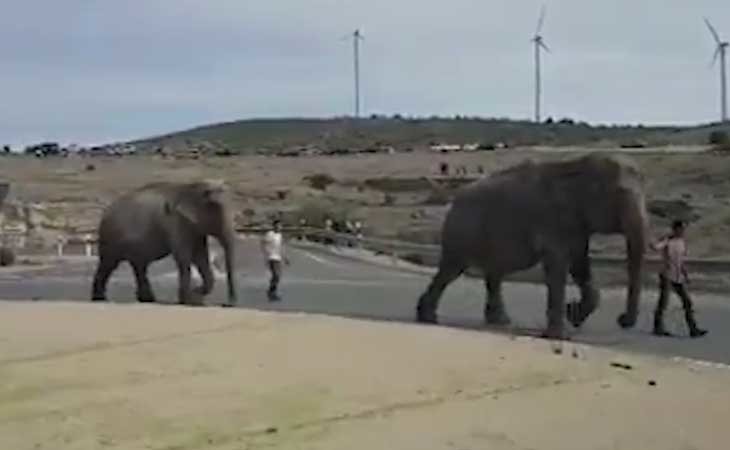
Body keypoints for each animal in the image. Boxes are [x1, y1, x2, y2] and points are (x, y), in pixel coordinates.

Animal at [90, 179, 239, 306]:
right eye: (215, 208)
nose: (227, 304)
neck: (192, 186)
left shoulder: (194, 228)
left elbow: (201, 257)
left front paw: (196, 299)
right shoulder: (175, 222)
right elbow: (184, 256)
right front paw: (189, 300)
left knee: (139, 266)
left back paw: (148, 300)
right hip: (111, 238)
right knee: (109, 264)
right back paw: (100, 299)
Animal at [416, 153, 648, 340]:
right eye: (620, 193)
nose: (621, 319)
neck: (578, 168)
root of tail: (454, 200)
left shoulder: (577, 225)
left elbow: (580, 264)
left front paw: (573, 314)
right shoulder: (551, 221)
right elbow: (558, 265)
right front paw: (559, 335)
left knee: (493, 274)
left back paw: (499, 321)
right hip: (462, 230)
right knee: (451, 270)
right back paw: (428, 318)